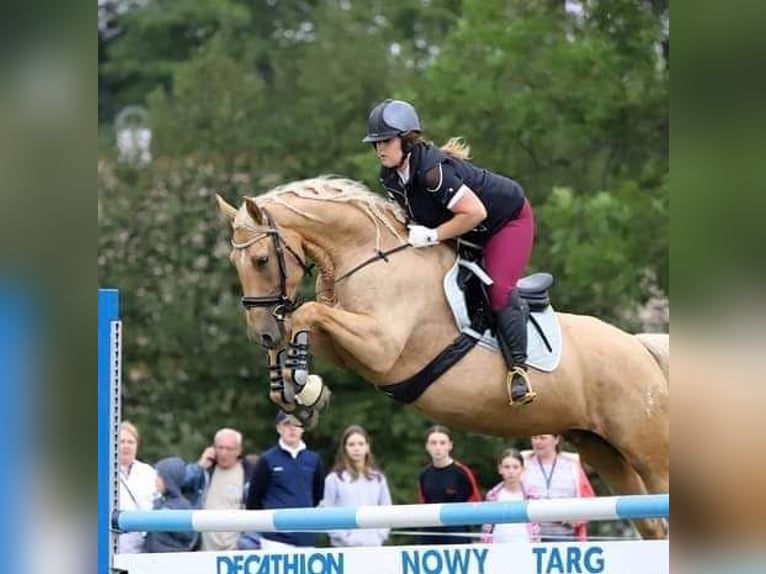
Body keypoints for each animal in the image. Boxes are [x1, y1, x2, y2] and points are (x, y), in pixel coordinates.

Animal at [218, 176, 672, 540]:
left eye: (261, 260)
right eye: (233, 262)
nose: (259, 331)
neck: (366, 257)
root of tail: (639, 348)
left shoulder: (380, 348)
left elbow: (306, 313)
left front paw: (301, 383)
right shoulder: (350, 346)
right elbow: (300, 323)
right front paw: (299, 392)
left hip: (646, 450)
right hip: (602, 448)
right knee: (652, 524)